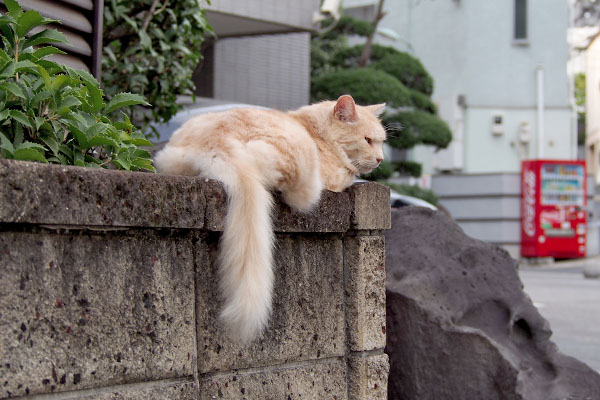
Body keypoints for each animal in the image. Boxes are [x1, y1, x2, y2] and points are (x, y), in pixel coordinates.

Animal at [155, 95, 386, 342]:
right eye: (368, 140)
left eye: (381, 142)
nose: (381, 159)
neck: (315, 131)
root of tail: (217, 139)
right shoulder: (335, 174)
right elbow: (347, 175)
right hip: (298, 168)